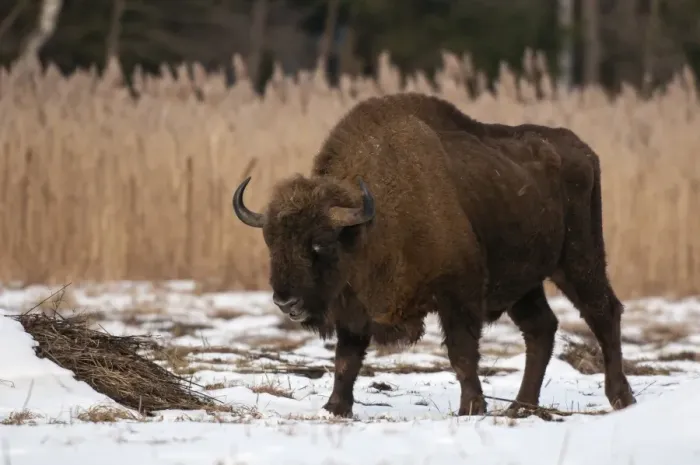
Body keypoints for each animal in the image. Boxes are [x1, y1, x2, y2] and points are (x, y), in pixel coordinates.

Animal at [231, 92, 637, 418]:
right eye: (271, 242)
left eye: (320, 243)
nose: (286, 301)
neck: (372, 221)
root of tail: (584, 152)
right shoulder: (354, 309)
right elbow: (346, 360)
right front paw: (335, 408)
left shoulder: (456, 294)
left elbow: (461, 353)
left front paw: (471, 407)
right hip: (524, 282)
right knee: (541, 328)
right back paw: (522, 406)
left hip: (578, 258)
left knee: (603, 312)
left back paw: (620, 397)